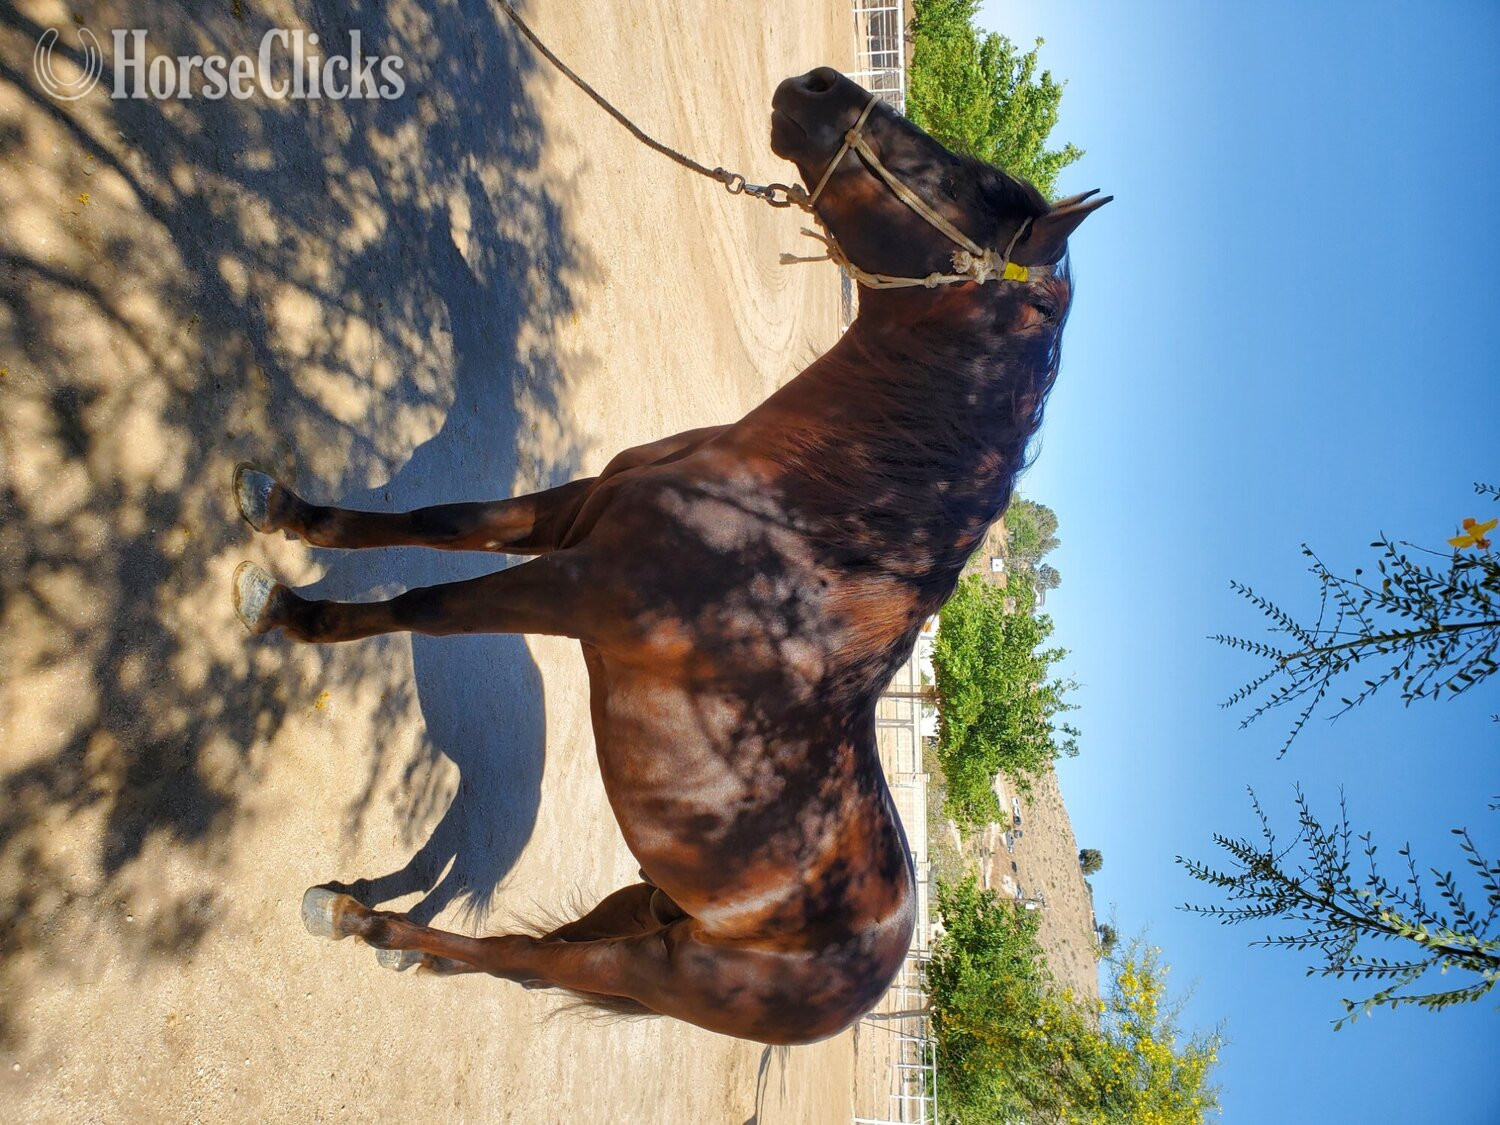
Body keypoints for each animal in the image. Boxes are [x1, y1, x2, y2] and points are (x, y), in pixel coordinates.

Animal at [230, 67, 1108, 1045]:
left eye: (950, 180)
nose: (819, 84)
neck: (792, 532)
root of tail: (882, 967)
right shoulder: (569, 515)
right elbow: (440, 518)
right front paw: (283, 509)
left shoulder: (572, 587)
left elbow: (426, 605)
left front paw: (286, 609)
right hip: (650, 901)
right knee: (519, 951)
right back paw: (391, 931)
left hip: (656, 966)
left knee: (523, 958)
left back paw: (356, 917)